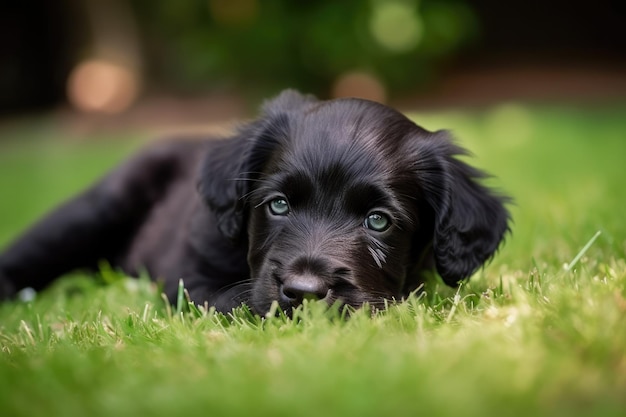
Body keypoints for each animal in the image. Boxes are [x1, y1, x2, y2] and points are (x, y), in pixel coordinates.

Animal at [0, 90, 508, 312]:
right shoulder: (193, 279)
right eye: (278, 205)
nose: (303, 292)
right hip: (94, 209)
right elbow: (240, 302)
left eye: (378, 221)